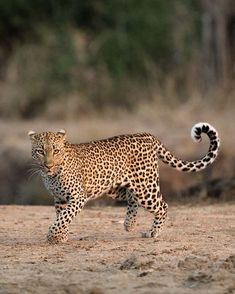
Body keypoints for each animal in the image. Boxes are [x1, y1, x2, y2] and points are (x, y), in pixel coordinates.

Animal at [28, 121, 220, 243]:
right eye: (40, 151)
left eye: (56, 150)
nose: (48, 165)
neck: (52, 175)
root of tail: (148, 135)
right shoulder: (60, 199)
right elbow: (62, 217)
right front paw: (61, 236)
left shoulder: (77, 197)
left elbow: (63, 218)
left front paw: (53, 235)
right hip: (117, 187)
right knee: (131, 198)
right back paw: (129, 224)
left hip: (145, 187)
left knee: (162, 206)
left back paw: (153, 232)